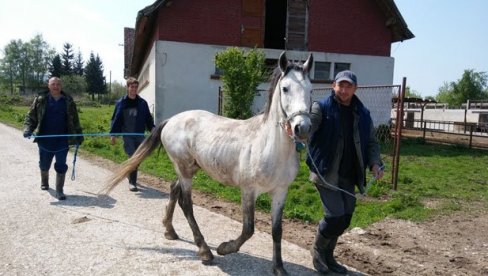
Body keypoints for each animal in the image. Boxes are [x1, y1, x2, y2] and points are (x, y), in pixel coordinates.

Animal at [105, 51, 314, 274]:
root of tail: (171, 121)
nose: (303, 128)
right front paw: (225, 248)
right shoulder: (248, 190)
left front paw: (279, 268)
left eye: (310, 89)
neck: (268, 145)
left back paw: (170, 230)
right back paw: (204, 250)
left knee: (173, 189)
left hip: (189, 168)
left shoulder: (280, 192)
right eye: (285, 88)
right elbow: (248, 229)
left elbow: (277, 231)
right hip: (185, 170)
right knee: (186, 204)